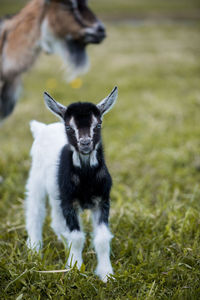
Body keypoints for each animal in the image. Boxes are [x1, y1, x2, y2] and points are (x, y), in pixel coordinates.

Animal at [25, 86, 118, 282]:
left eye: (98, 125)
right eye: (69, 127)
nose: (85, 143)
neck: (86, 177)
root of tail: (42, 128)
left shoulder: (102, 201)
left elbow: (102, 238)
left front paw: (106, 274)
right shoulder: (69, 202)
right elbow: (76, 237)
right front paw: (75, 268)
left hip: (56, 192)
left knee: (57, 221)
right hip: (36, 179)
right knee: (35, 211)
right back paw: (34, 250)